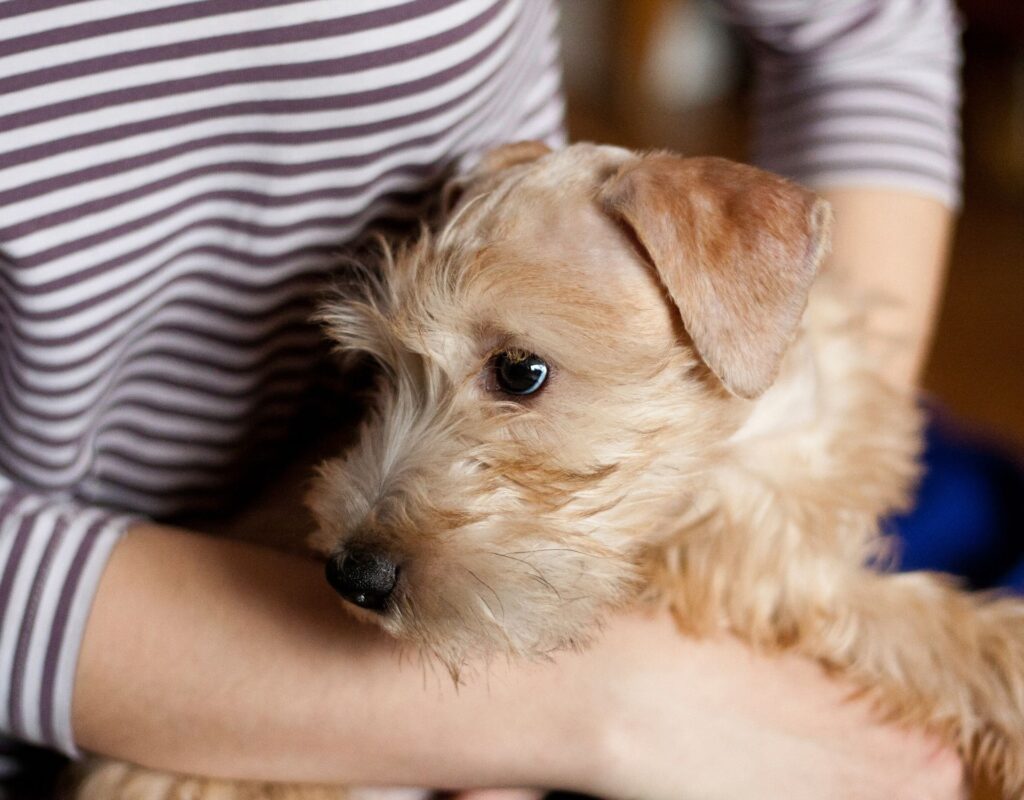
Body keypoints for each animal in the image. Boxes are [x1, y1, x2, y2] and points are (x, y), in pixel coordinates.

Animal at [74, 140, 1024, 794]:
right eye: (382, 372)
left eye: (521, 370)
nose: (351, 577)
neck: (735, 446)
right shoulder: (766, 587)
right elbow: (919, 628)